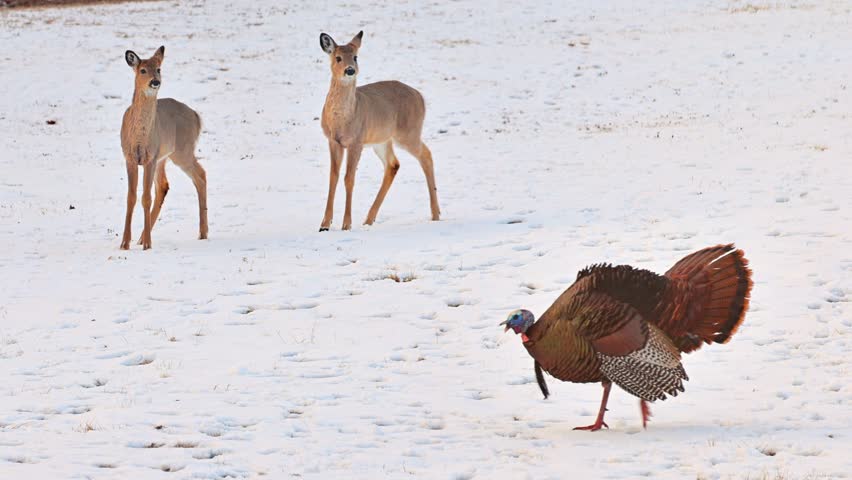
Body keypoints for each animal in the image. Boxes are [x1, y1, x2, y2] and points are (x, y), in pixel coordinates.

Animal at [119, 46, 207, 250]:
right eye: (143, 70)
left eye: (158, 69)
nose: (155, 82)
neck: (139, 138)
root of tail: (196, 116)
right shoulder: (130, 157)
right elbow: (130, 197)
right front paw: (124, 243)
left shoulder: (150, 157)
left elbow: (145, 197)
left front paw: (147, 245)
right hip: (165, 157)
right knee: (164, 186)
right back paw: (142, 237)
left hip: (182, 151)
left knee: (201, 176)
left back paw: (203, 232)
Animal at [318, 31, 440, 232]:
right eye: (338, 58)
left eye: (356, 57)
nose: (350, 70)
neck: (341, 121)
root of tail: (421, 97)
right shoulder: (333, 141)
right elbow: (333, 177)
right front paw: (324, 225)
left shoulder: (357, 142)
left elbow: (349, 178)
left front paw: (346, 224)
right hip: (382, 140)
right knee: (393, 164)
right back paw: (369, 219)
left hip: (408, 132)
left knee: (426, 155)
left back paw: (436, 214)